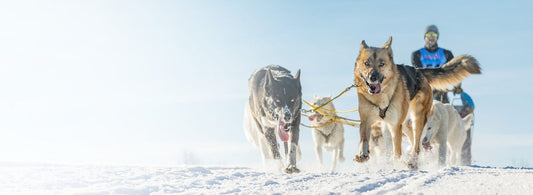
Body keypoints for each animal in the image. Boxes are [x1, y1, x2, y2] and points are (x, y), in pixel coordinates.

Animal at [352, 37, 480, 169]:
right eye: (366, 63)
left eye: (381, 64)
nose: (373, 77)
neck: (380, 97)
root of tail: (419, 71)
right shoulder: (366, 120)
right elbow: (364, 140)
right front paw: (362, 155)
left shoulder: (395, 125)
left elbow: (397, 151)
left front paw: (397, 164)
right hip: (406, 123)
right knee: (414, 141)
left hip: (418, 119)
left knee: (417, 144)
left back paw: (412, 162)